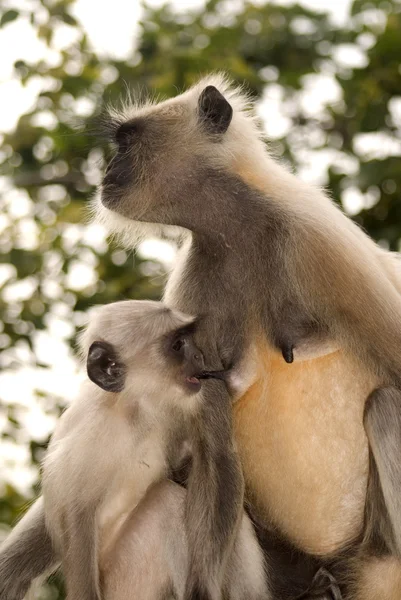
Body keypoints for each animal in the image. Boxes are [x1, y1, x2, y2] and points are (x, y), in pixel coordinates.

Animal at [39, 302, 268, 600]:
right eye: (178, 345)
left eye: (188, 339)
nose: (199, 355)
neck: (136, 408)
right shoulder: (88, 437)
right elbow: (76, 516)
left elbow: (215, 458)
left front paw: (202, 586)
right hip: (128, 580)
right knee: (165, 500)